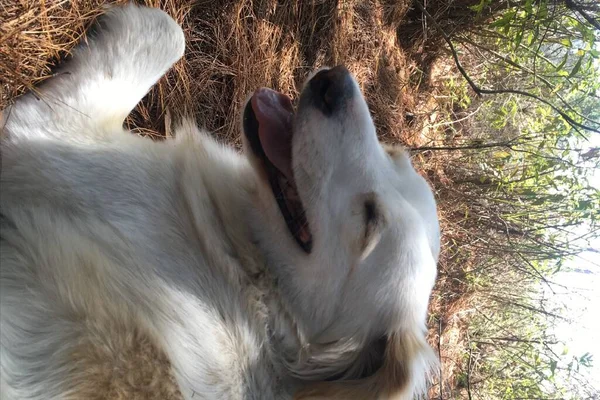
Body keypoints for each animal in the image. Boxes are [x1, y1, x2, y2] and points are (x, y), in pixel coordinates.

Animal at [0, 3, 440, 400]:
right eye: (395, 156)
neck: (249, 279)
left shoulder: (46, 137)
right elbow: (167, 30)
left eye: (369, 221)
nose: (335, 81)